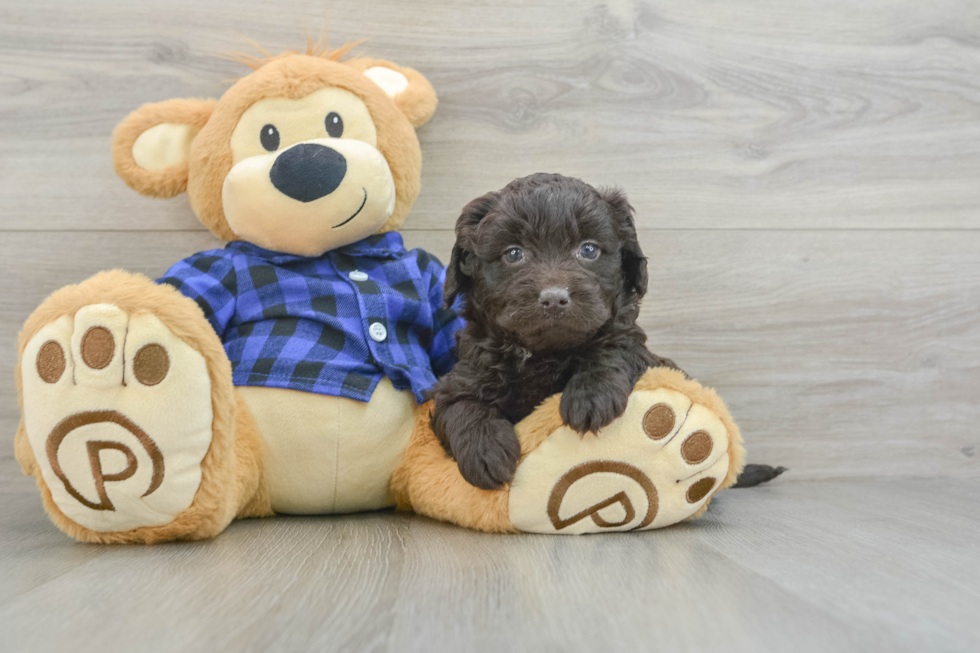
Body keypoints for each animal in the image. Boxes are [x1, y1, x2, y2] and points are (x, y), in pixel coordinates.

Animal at [432, 173, 676, 488]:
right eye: (513, 254)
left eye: (589, 250)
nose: (554, 299)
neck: (543, 354)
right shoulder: (461, 376)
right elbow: (458, 403)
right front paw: (485, 450)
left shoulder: (639, 351)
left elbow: (616, 347)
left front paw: (590, 395)